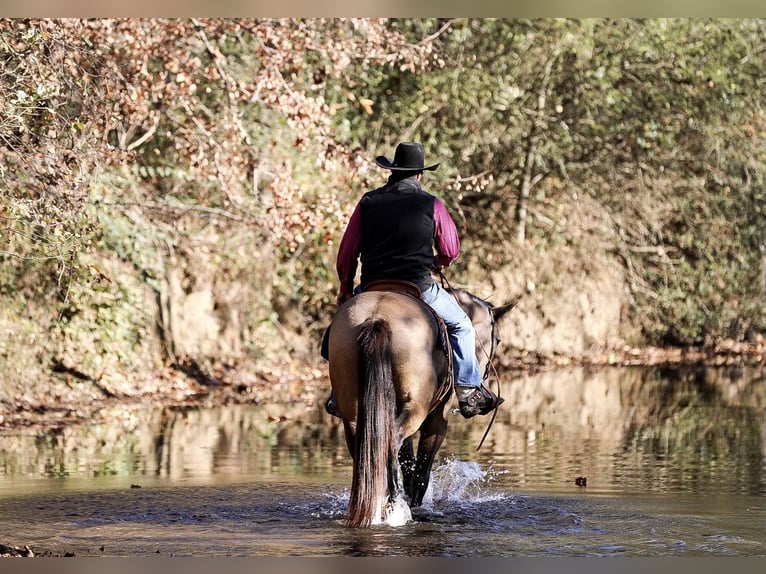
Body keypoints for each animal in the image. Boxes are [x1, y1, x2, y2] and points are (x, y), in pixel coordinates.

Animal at [328, 286, 512, 528]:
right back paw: (395, 505)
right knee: (391, 442)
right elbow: (421, 471)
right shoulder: (437, 422)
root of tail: (376, 317)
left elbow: (408, 464)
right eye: (498, 340)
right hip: (416, 410)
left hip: (353, 413)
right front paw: (415, 504)